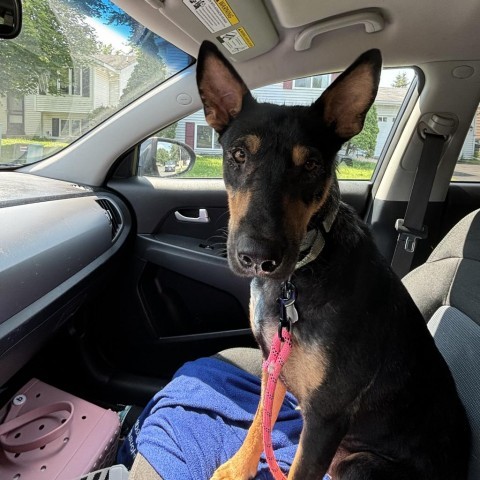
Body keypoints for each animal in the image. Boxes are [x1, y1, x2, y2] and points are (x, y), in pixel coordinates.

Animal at [195, 40, 468, 480]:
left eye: (310, 165)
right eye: (237, 154)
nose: (258, 258)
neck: (297, 279)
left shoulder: (327, 417)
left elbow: (297, 468)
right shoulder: (275, 365)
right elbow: (258, 423)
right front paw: (237, 469)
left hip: (359, 463)